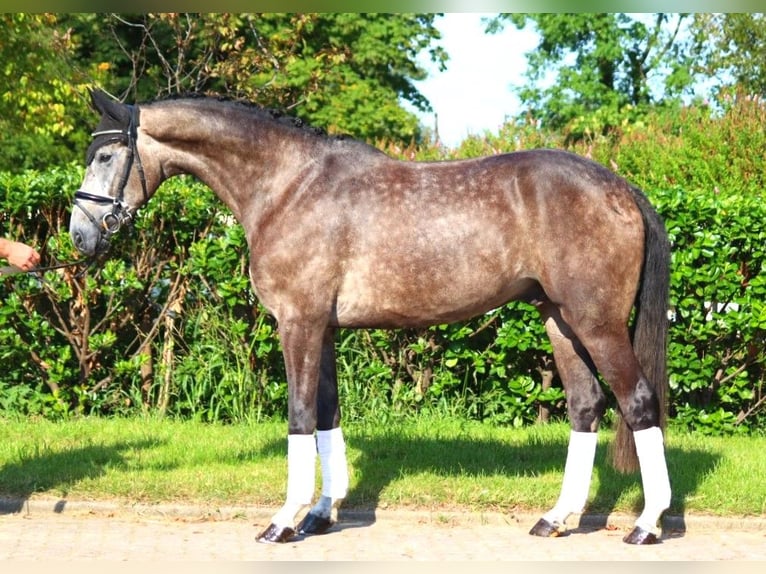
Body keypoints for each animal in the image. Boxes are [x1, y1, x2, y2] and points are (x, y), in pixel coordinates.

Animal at [70, 90, 672, 548]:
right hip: (559, 320)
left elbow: (299, 415)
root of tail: (619, 187)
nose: (79, 236)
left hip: (596, 323)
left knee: (639, 402)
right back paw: (556, 518)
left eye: (105, 156)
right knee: (586, 405)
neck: (287, 186)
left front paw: (283, 521)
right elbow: (328, 413)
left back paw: (646, 525)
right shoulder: (324, 329)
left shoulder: (298, 322)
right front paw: (321, 513)